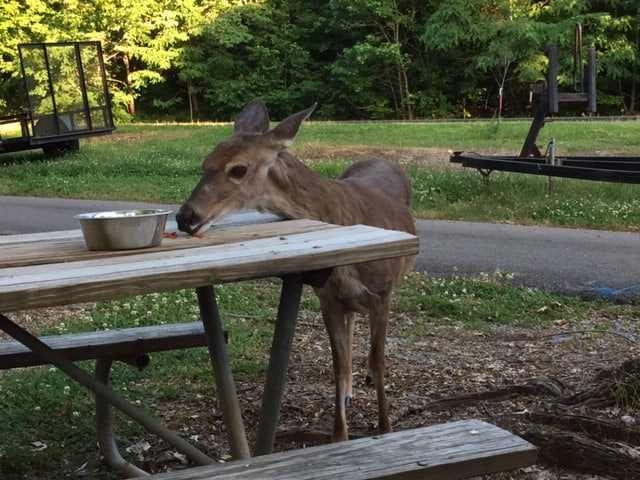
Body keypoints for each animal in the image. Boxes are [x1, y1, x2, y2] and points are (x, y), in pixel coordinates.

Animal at [176, 99, 416, 442]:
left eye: (238, 169)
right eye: (205, 163)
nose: (185, 217)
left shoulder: (382, 292)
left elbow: (379, 360)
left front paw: (385, 427)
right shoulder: (326, 298)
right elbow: (337, 364)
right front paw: (339, 435)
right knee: (351, 327)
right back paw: (350, 391)